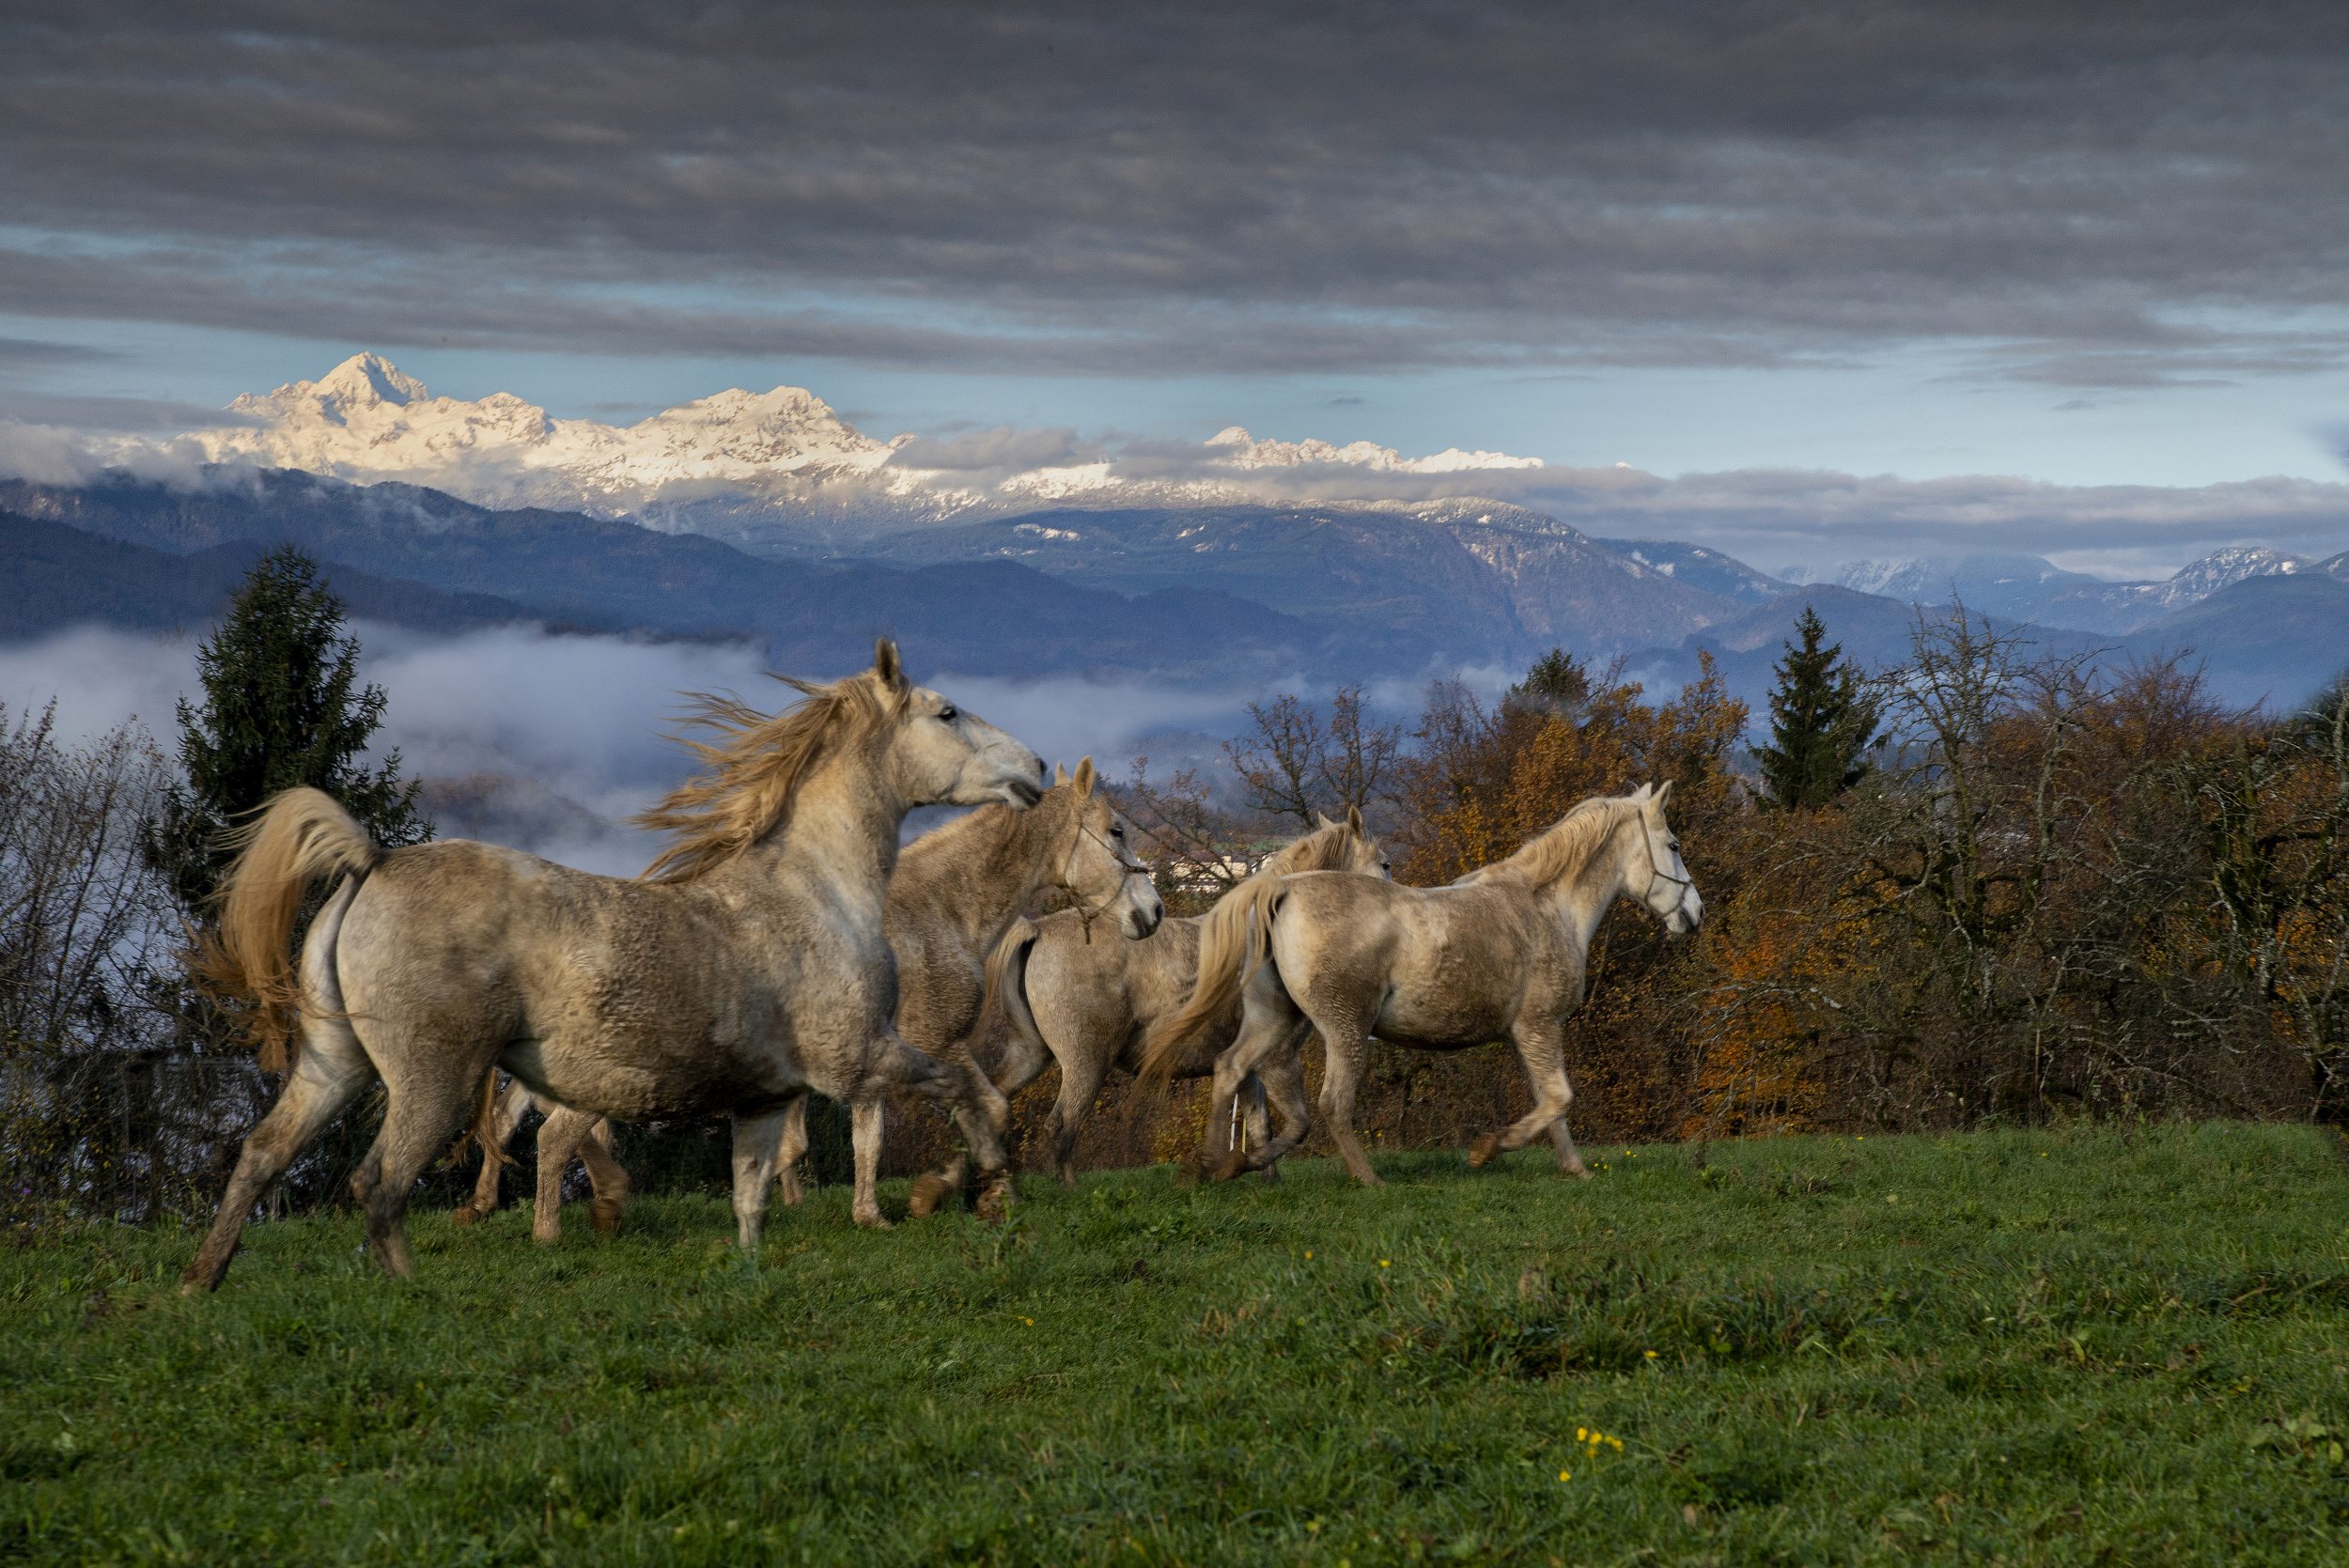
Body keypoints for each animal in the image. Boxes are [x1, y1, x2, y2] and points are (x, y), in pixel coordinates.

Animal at [180, 640, 1043, 1290]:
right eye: (946, 711)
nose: (1033, 767)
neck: (817, 891)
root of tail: (374, 861)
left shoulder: (766, 1097)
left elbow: (751, 1201)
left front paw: (750, 1269)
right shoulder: (859, 1061)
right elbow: (971, 1092)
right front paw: (973, 1188)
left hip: (334, 1065)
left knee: (261, 1155)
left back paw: (201, 1283)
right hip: (433, 1079)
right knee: (380, 1185)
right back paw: (408, 1291)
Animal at [506, 756, 1163, 1234]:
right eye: (1117, 830)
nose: (1153, 912)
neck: (941, 907)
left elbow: (868, 1141)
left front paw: (873, 1214)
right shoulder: (937, 1041)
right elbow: (989, 1109)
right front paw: (958, 1194)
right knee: (555, 1134)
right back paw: (555, 1231)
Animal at [983, 807, 1389, 1185]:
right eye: (1385, 863)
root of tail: (1037, 929)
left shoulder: (1249, 1065)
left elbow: (1259, 1124)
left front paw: (1262, 1180)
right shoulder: (1277, 1057)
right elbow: (1293, 1124)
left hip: (1031, 1053)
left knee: (995, 1101)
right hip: (1086, 1062)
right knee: (1061, 1128)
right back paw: (1070, 1192)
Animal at [1139, 784, 1700, 1187]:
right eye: (1673, 845)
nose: (1695, 913)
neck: (1546, 907)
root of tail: (1281, 889)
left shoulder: (1527, 1033)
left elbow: (1550, 1101)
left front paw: (1574, 1168)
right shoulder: (1540, 1024)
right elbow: (1560, 1098)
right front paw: (1487, 1150)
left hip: (1274, 1017)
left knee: (1231, 1069)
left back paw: (1216, 1165)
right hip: (1343, 1027)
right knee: (1331, 1103)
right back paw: (1368, 1180)